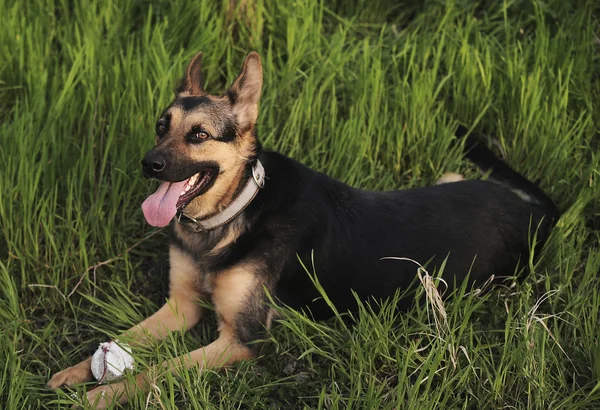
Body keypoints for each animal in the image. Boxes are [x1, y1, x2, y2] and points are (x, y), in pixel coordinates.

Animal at [45, 51, 556, 406]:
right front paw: (75, 373)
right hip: (451, 178)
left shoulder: (240, 341)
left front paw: (100, 395)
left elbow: (158, 371)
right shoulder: (181, 307)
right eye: (160, 125)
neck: (231, 215)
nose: (148, 164)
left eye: (199, 135)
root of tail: (533, 212)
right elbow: (126, 337)